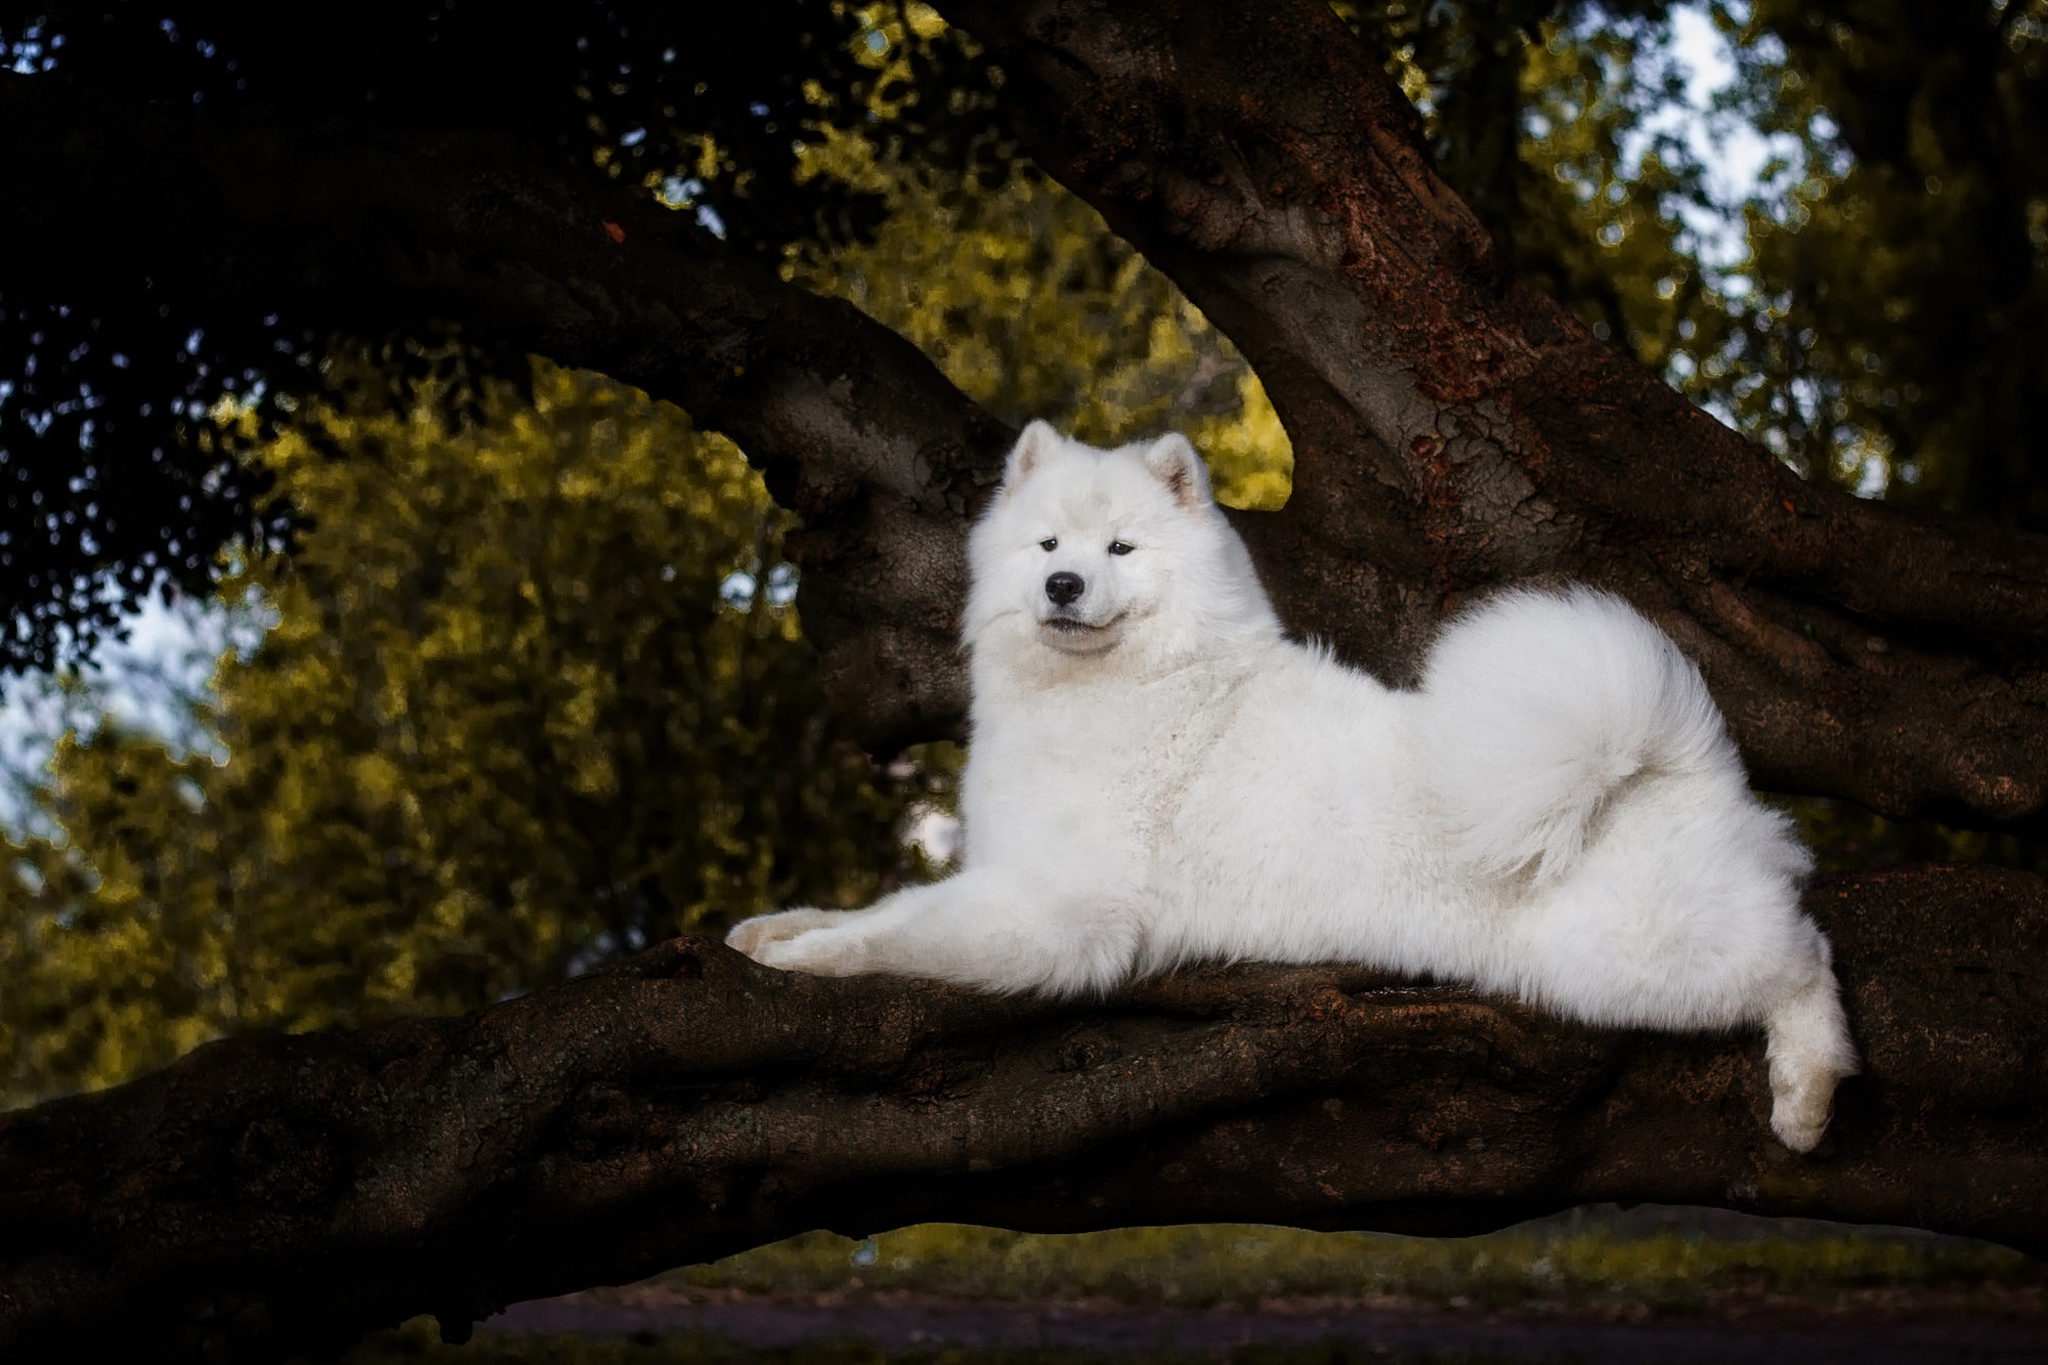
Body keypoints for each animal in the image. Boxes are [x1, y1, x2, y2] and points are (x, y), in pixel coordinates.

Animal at [733, 421, 1859, 1146]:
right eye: (1045, 543)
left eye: (1120, 548)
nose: (1062, 584)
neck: (1125, 688)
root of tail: (1670, 754)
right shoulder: (1001, 876)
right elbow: (885, 903)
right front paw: (776, 926)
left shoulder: (1059, 913)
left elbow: (901, 932)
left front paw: (809, 959)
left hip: (1638, 957)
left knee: (1801, 958)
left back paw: (1805, 1098)